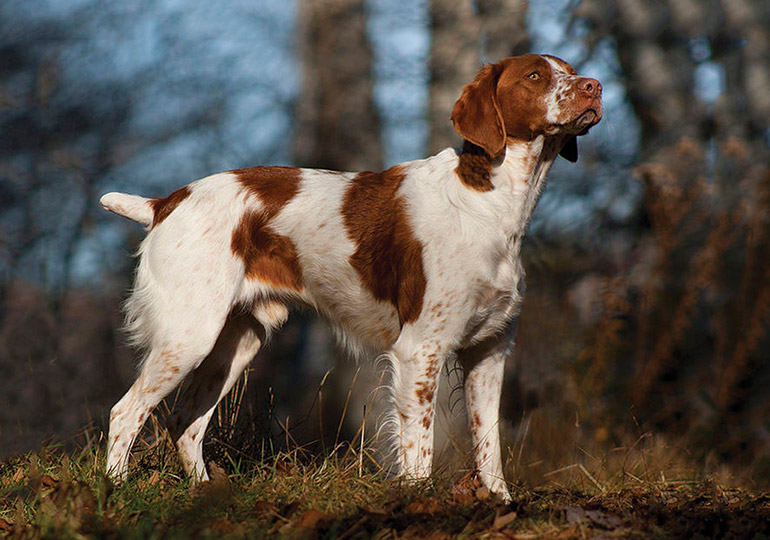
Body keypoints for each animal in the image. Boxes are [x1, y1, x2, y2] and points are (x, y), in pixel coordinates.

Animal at [99, 52, 600, 500]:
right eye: (535, 75)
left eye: (572, 71)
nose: (594, 86)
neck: (490, 203)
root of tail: (165, 202)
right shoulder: (421, 349)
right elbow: (419, 448)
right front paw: (419, 503)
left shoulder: (490, 351)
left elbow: (489, 444)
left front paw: (500, 504)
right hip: (189, 334)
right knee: (126, 411)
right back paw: (116, 490)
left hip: (235, 341)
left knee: (185, 420)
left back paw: (204, 494)